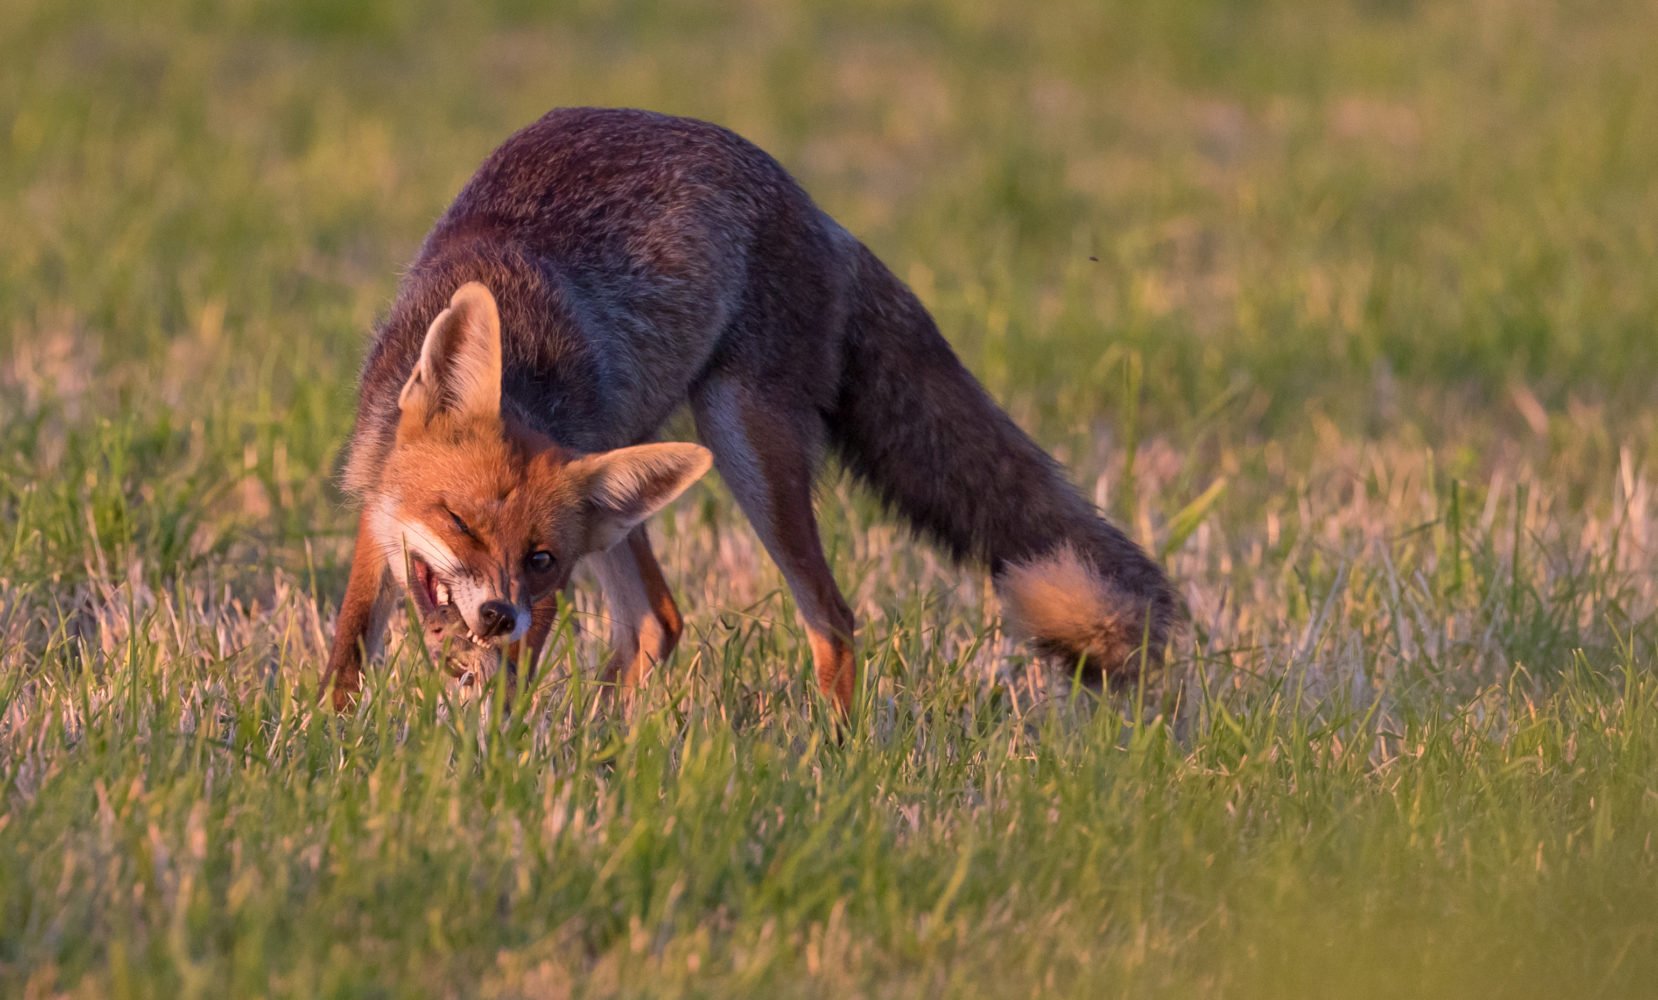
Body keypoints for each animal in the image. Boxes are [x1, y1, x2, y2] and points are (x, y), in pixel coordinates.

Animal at [319, 105, 1180, 716]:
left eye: (540, 560)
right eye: (458, 521)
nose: (498, 615)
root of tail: (819, 211)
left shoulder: (556, 579)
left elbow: (502, 688)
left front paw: (488, 761)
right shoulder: (378, 506)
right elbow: (351, 643)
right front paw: (334, 739)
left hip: (743, 445)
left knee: (828, 619)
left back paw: (833, 765)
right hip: (635, 483)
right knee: (657, 621)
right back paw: (601, 747)